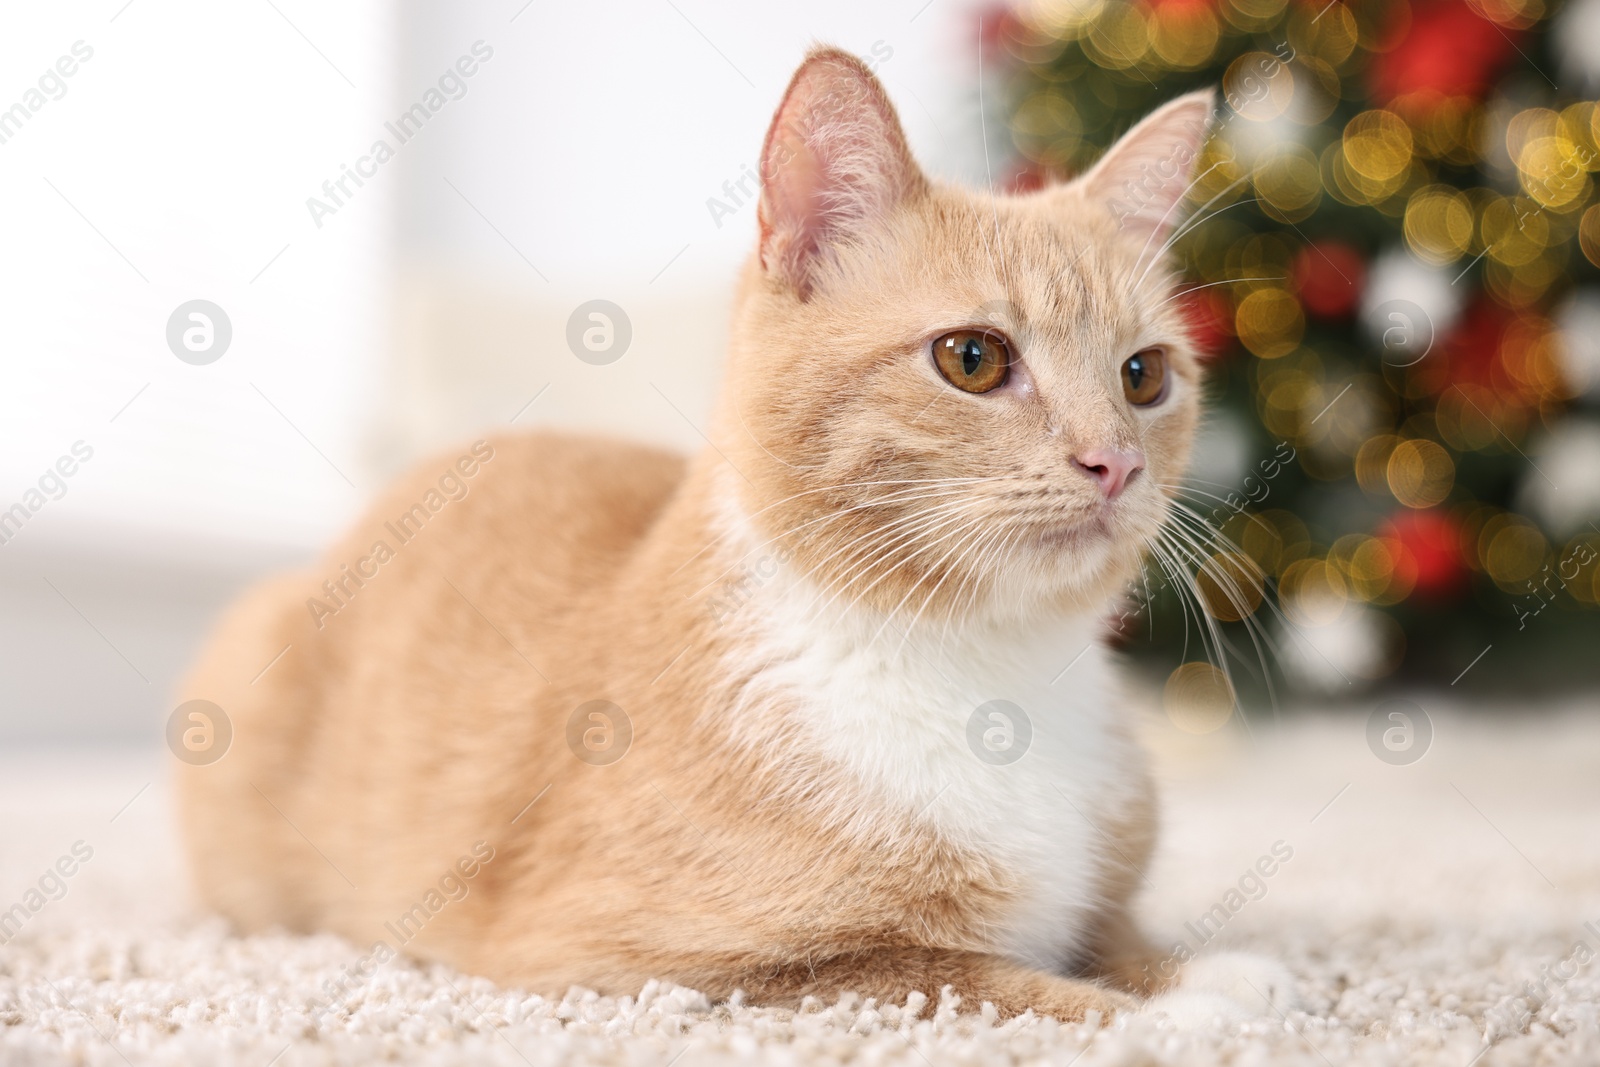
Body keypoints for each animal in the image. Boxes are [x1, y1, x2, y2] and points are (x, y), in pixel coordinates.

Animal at [178, 49, 1299, 1023]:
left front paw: (1200, 969)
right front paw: (1174, 1015)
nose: (1114, 461)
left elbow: (1106, 931)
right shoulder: (644, 961)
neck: (988, 666)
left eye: (1144, 376)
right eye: (973, 358)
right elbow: (969, 975)